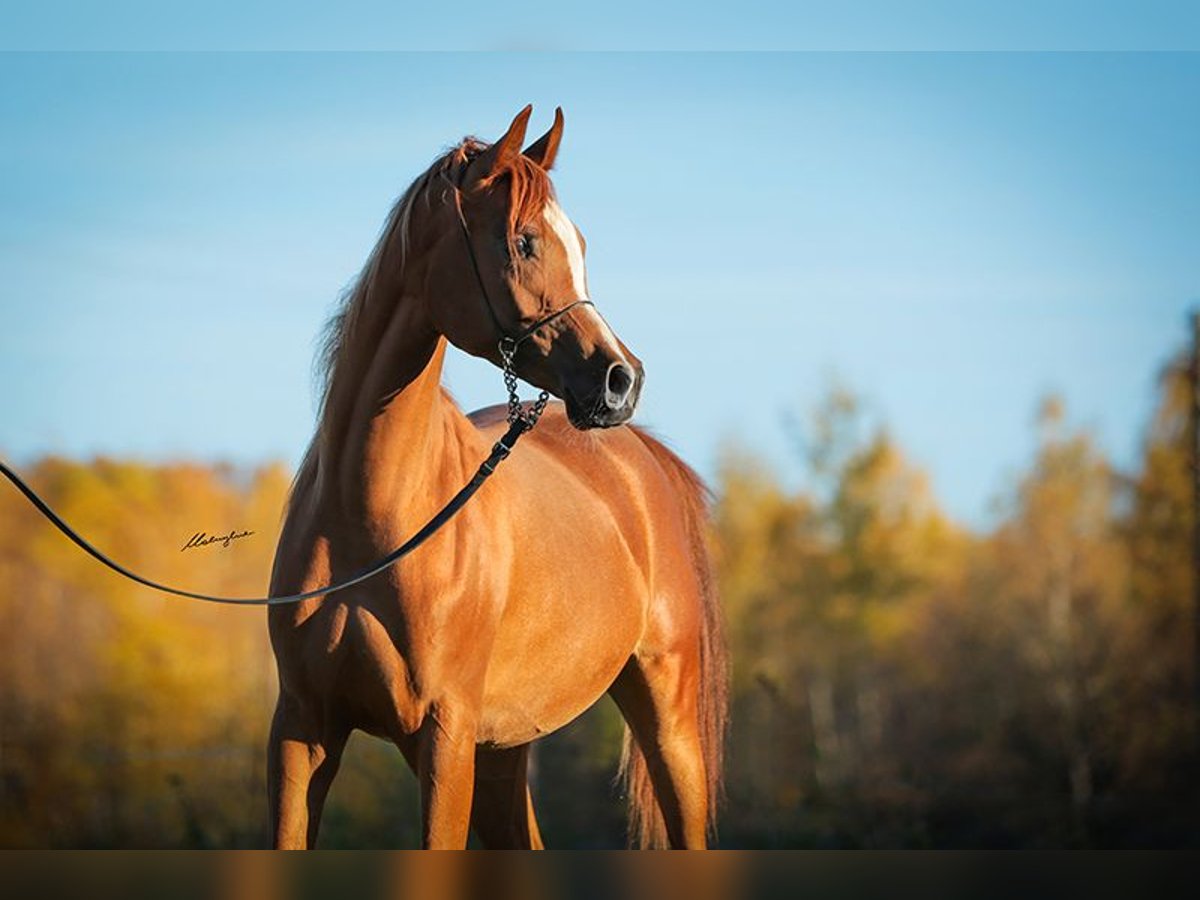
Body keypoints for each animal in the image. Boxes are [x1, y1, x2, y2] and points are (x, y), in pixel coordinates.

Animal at [267, 105, 724, 854]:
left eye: (579, 243)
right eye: (524, 241)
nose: (621, 381)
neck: (373, 520)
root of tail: (642, 458)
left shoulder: (443, 737)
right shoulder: (302, 730)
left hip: (668, 718)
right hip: (505, 749)